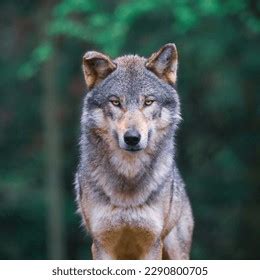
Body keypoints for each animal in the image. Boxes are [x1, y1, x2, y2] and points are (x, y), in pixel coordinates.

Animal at [74, 43, 193, 260]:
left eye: (148, 102)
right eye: (115, 102)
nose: (132, 138)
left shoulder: (152, 244)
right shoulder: (101, 244)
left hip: (176, 251)